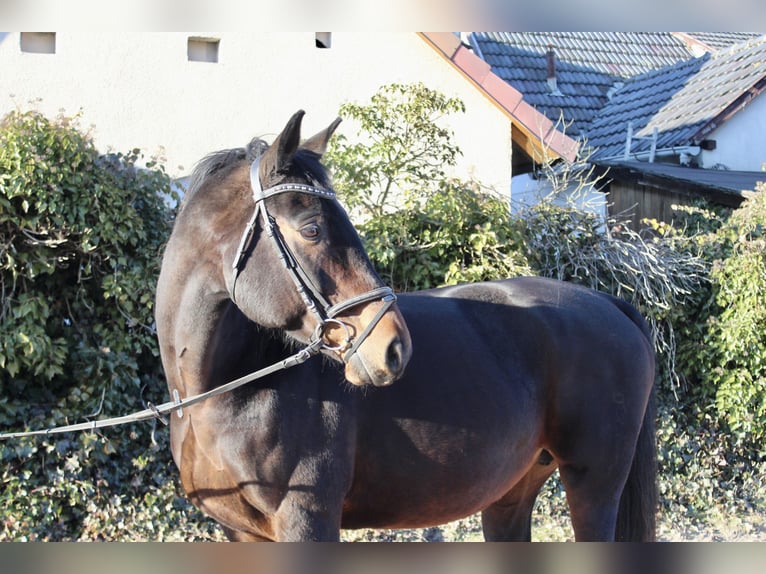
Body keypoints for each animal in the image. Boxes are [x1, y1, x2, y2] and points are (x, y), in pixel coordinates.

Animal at [155, 110, 657, 542]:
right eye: (312, 228)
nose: (394, 348)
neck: (223, 395)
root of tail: (609, 302)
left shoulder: (307, 521)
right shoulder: (241, 532)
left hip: (593, 485)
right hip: (512, 492)